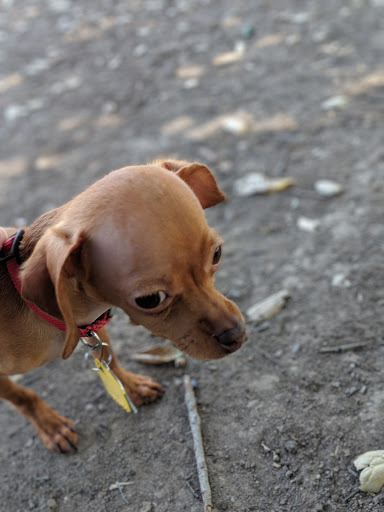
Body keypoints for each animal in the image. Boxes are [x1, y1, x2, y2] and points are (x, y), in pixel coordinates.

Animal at [0, 160, 246, 452]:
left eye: (217, 254)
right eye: (150, 300)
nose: (237, 335)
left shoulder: (93, 324)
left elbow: (108, 355)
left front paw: (131, 386)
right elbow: (23, 396)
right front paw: (51, 425)